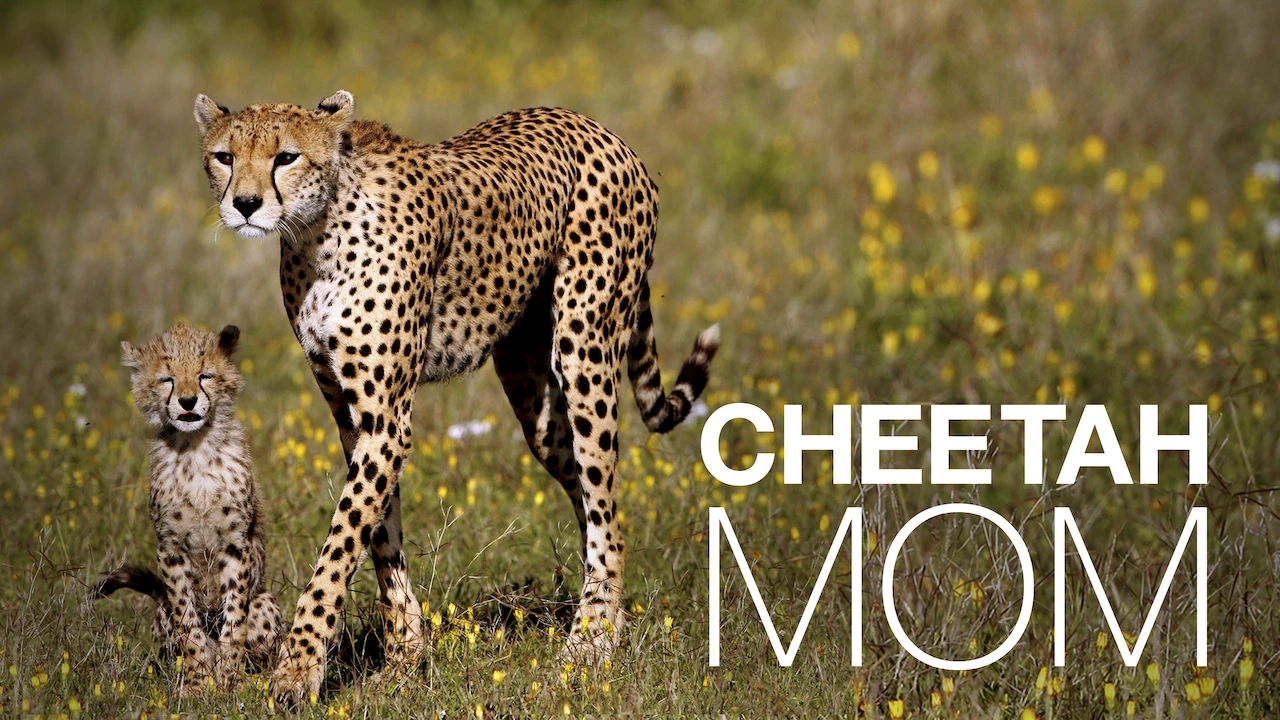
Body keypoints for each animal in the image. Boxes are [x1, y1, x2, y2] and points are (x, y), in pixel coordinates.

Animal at [94, 323, 281, 692]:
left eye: (204, 375)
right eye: (167, 379)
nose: (188, 401)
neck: (195, 448)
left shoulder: (236, 545)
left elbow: (234, 619)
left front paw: (229, 679)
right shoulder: (170, 547)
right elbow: (187, 620)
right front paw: (198, 683)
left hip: (266, 603)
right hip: (161, 614)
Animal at [193, 90, 720, 703]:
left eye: (286, 157)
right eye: (225, 157)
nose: (246, 205)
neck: (317, 232)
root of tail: (599, 128)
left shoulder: (386, 420)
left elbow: (339, 546)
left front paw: (298, 671)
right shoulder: (353, 416)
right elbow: (377, 535)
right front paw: (404, 658)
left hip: (585, 348)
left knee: (604, 507)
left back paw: (589, 645)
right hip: (533, 395)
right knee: (594, 508)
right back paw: (601, 624)